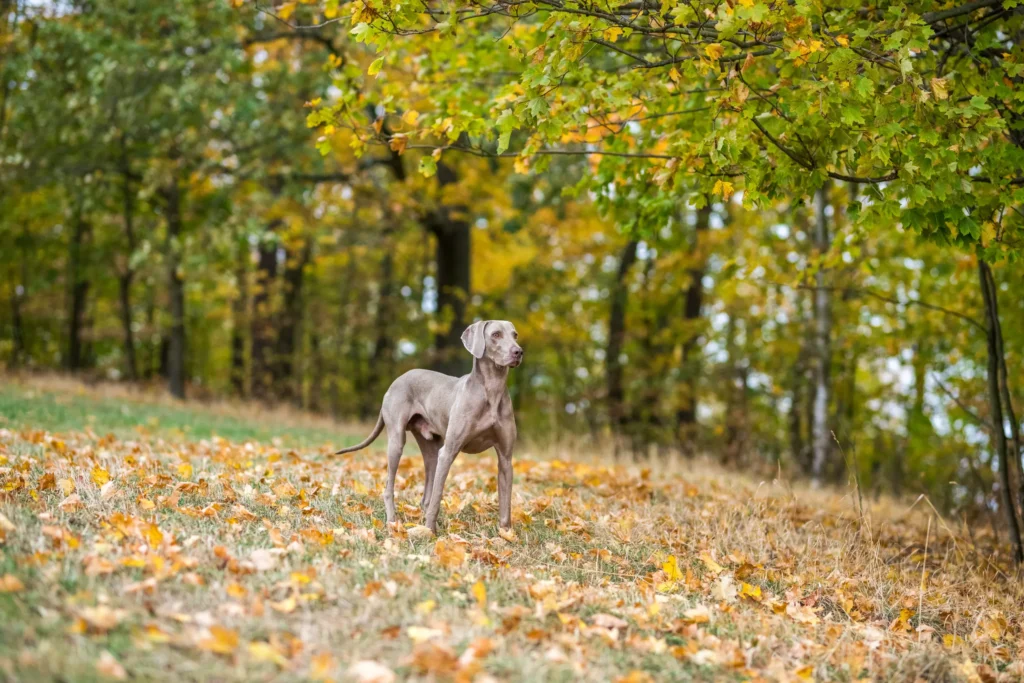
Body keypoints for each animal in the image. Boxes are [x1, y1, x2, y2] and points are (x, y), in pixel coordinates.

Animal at [335, 321, 524, 532]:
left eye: (515, 335)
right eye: (496, 334)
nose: (519, 351)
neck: (491, 391)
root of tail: (396, 381)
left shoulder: (506, 459)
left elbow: (506, 504)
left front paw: (506, 535)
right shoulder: (448, 452)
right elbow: (437, 496)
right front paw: (430, 532)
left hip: (431, 450)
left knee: (426, 494)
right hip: (397, 443)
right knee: (391, 487)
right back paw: (393, 522)